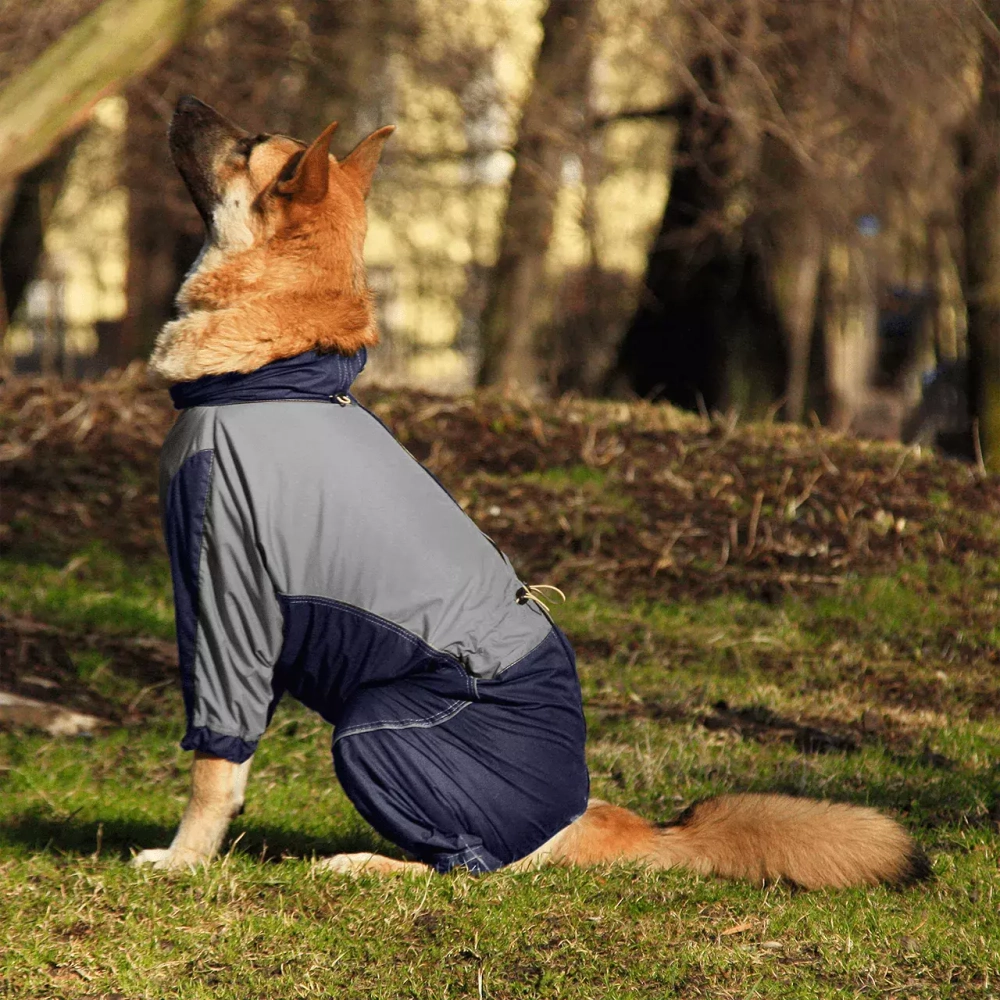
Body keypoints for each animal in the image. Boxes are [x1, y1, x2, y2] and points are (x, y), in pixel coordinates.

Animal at [134, 96, 930, 889]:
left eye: (249, 145)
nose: (180, 102)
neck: (280, 375)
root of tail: (586, 814)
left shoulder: (227, 597)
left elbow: (214, 765)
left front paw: (184, 859)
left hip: (372, 727)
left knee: (470, 868)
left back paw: (365, 863)